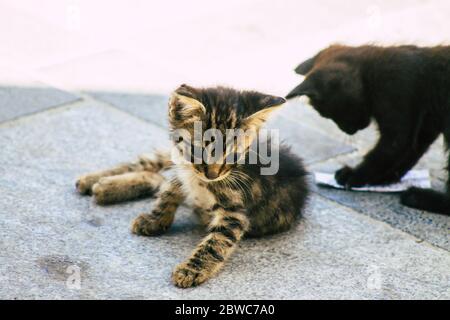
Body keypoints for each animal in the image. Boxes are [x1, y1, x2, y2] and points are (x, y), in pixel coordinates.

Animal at [77, 84, 310, 288]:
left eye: (232, 155)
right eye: (200, 151)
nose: (212, 174)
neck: (198, 180)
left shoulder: (235, 211)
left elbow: (216, 242)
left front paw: (191, 270)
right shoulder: (183, 168)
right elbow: (169, 191)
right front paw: (155, 219)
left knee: (157, 178)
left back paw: (103, 187)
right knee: (151, 167)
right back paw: (94, 181)